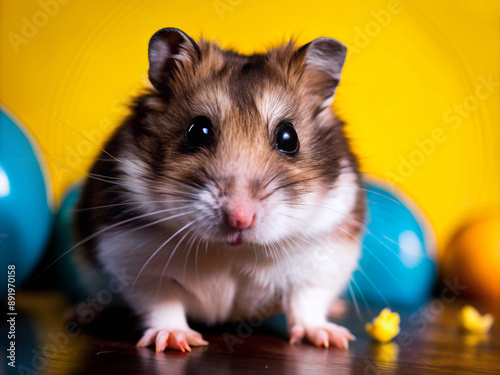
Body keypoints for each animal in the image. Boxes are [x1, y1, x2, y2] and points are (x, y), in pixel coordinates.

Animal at [73, 27, 364, 352]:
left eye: (289, 137)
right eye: (197, 131)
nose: (240, 219)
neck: (232, 251)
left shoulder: (325, 257)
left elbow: (306, 302)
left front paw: (333, 339)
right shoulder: (136, 261)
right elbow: (163, 304)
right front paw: (174, 341)